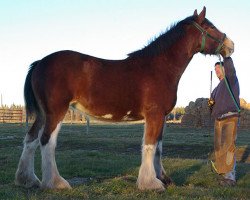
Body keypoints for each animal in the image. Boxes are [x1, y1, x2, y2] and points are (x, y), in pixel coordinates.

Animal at [15, 7, 234, 191]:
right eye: (211, 27)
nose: (231, 45)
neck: (159, 68)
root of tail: (40, 63)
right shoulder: (154, 114)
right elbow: (150, 145)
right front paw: (150, 183)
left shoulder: (161, 116)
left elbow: (158, 148)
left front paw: (163, 178)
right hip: (56, 112)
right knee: (47, 142)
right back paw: (55, 183)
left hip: (43, 114)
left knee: (31, 139)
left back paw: (28, 180)